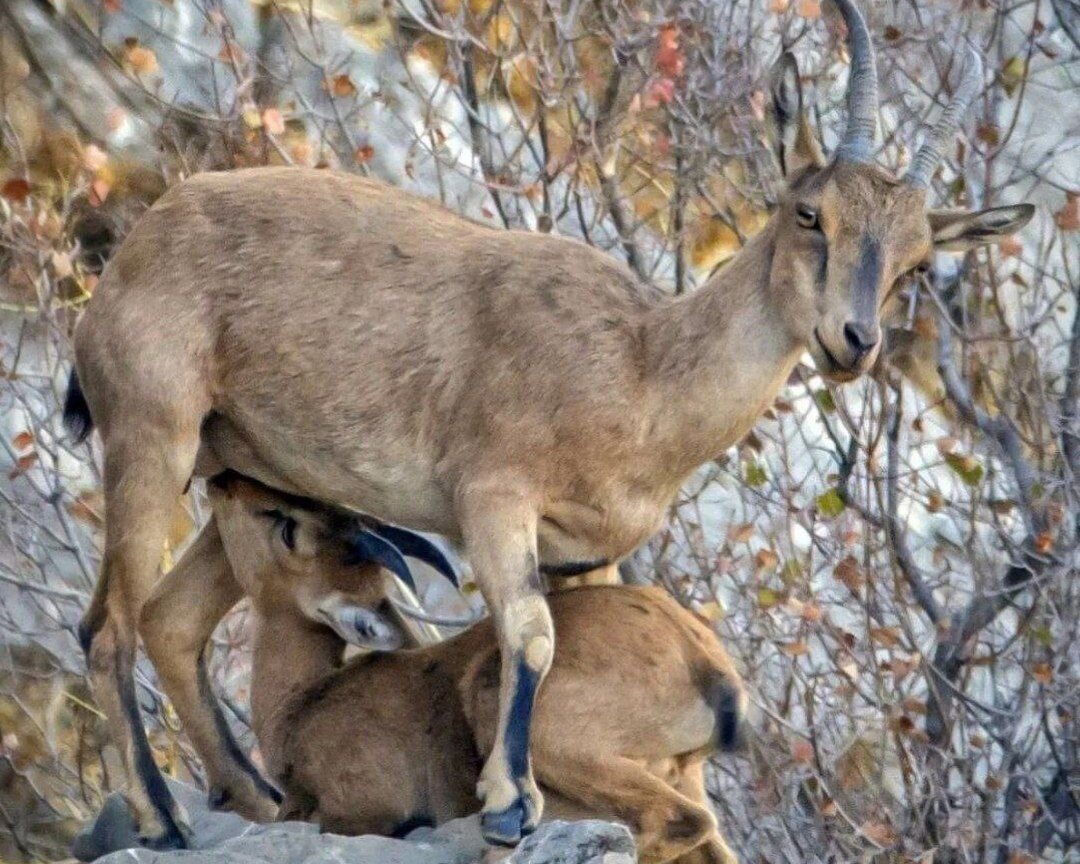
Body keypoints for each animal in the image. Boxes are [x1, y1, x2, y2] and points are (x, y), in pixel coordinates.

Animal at [63, 0, 1032, 846]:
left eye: (916, 261)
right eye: (809, 213)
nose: (852, 343)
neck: (640, 370)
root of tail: (136, 248)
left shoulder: (587, 554)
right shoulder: (492, 500)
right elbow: (530, 634)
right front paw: (506, 802)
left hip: (238, 472)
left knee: (171, 622)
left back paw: (251, 799)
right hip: (150, 435)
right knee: (108, 627)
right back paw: (160, 816)